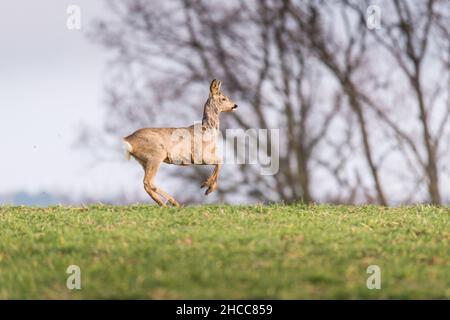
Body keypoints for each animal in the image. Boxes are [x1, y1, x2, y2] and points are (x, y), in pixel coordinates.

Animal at [121, 80, 237, 208]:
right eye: (223, 98)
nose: (235, 105)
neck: (207, 130)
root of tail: (128, 140)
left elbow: (219, 162)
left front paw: (208, 186)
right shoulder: (198, 155)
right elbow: (220, 161)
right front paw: (207, 187)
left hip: (143, 160)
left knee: (148, 184)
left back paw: (168, 204)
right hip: (156, 155)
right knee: (148, 182)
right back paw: (172, 203)